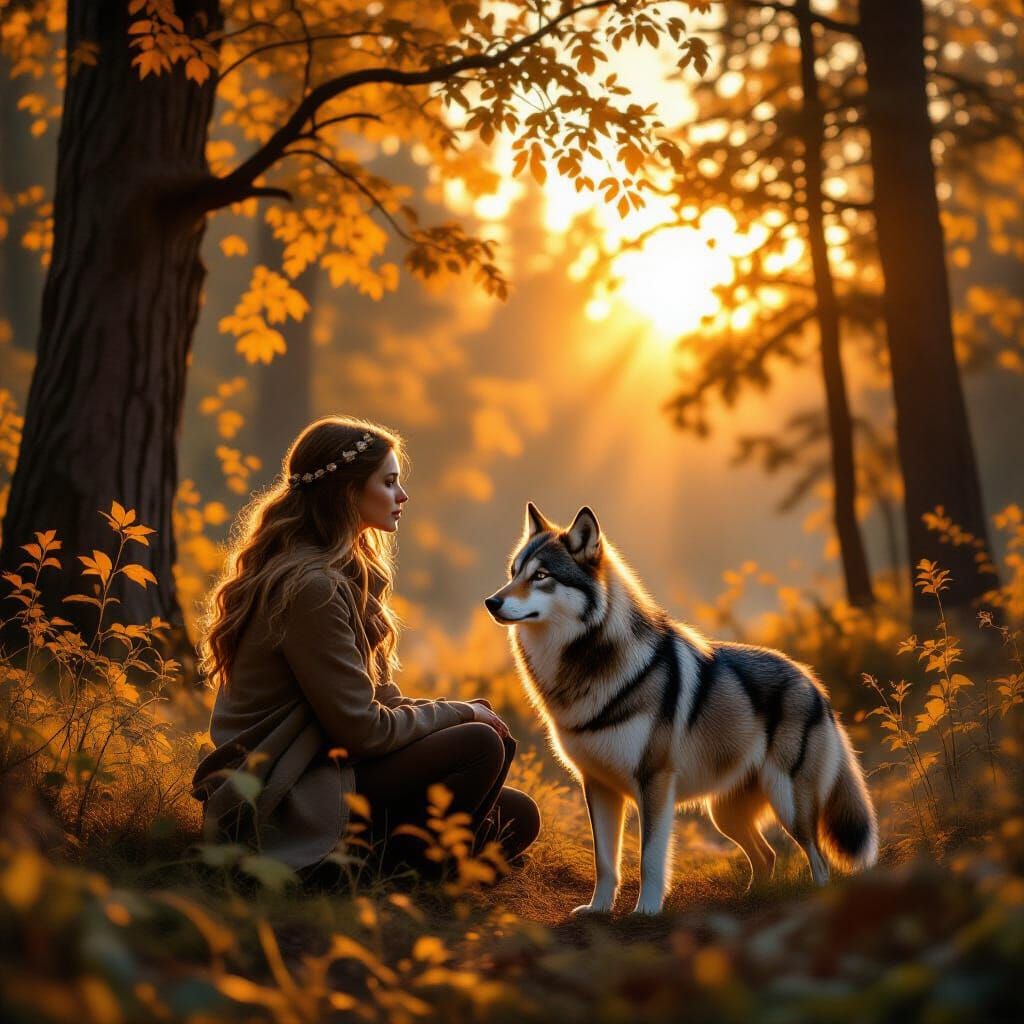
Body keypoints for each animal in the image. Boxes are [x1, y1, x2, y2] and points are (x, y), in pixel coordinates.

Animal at [484, 503, 878, 915]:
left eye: (541, 575)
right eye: (514, 573)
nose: (491, 602)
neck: (586, 667)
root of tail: (813, 682)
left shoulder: (654, 782)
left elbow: (649, 859)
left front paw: (646, 911)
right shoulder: (598, 786)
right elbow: (604, 862)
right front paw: (598, 909)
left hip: (788, 805)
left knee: (819, 860)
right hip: (725, 815)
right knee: (767, 856)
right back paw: (752, 898)